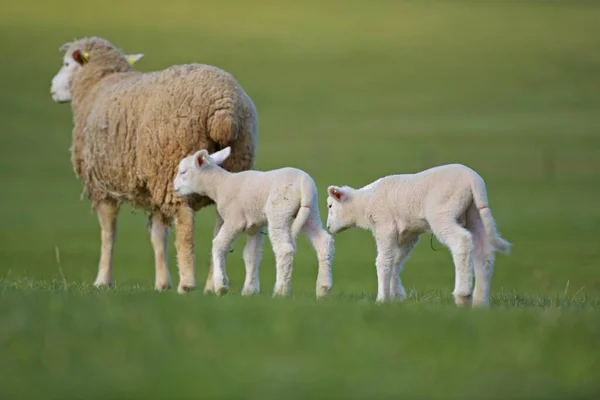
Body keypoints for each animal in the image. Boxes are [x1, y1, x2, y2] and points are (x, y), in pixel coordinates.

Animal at [48, 36, 258, 294]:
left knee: (185, 224)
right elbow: (158, 236)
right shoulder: (152, 188)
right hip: (230, 166)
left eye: (67, 64)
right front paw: (162, 283)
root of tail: (223, 109)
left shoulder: (101, 184)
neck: (99, 83)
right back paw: (212, 285)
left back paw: (187, 283)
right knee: (221, 229)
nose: (52, 89)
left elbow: (108, 232)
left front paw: (102, 280)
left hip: (173, 168)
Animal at [173, 146, 336, 296]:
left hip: (279, 211)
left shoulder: (234, 220)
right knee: (324, 242)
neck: (220, 185)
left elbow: (219, 244)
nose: (174, 188)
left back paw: (281, 291)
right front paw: (249, 291)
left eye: (183, 172)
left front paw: (221, 286)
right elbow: (251, 255)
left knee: (284, 249)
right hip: (311, 211)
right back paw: (323, 289)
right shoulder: (255, 226)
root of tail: (304, 185)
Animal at [324, 164, 510, 308]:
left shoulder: (385, 226)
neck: (364, 203)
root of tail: (473, 179)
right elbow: (396, 261)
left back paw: (463, 295)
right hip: (474, 214)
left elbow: (384, 261)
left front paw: (381, 299)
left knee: (461, 241)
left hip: (442, 213)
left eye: (330, 206)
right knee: (484, 251)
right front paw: (397, 296)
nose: (328, 227)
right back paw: (480, 302)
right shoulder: (409, 234)